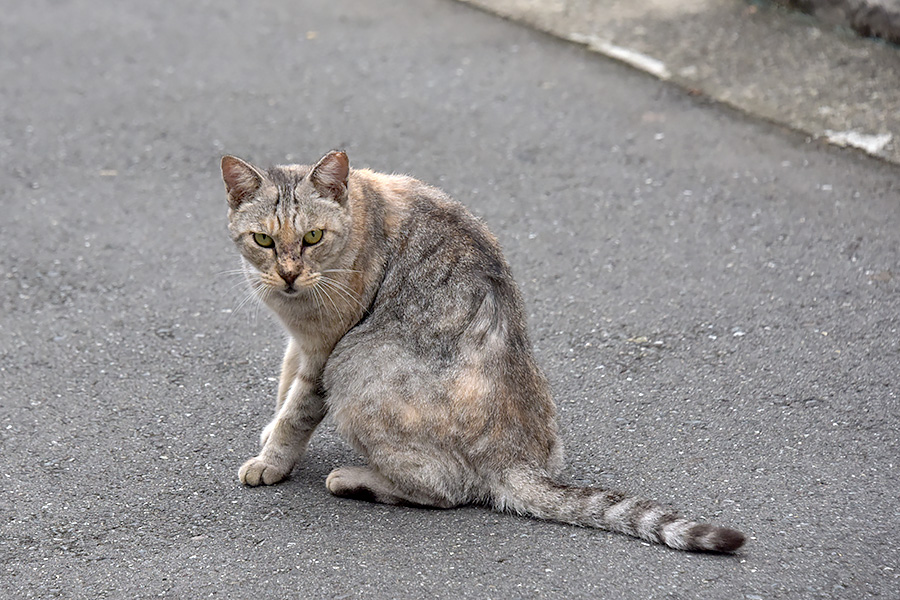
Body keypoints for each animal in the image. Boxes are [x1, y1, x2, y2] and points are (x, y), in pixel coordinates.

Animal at [220, 150, 744, 552]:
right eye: (264, 239)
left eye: (312, 237)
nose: (288, 274)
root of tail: (519, 461)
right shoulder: (301, 342)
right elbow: (284, 384)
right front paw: (268, 434)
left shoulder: (326, 350)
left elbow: (297, 411)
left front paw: (271, 461)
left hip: (354, 363)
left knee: (444, 490)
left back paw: (355, 478)